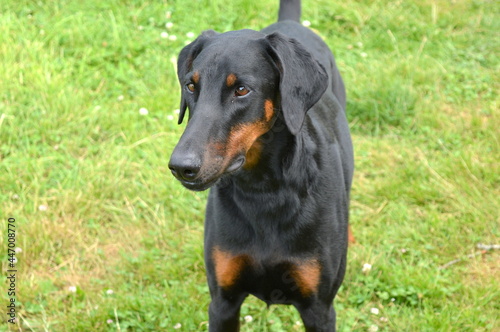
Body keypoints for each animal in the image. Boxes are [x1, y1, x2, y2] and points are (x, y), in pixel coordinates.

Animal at [168, 0, 352, 330]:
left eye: (242, 90)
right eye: (190, 86)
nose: (181, 166)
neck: (263, 191)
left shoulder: (319, 309)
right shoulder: (223, 302)